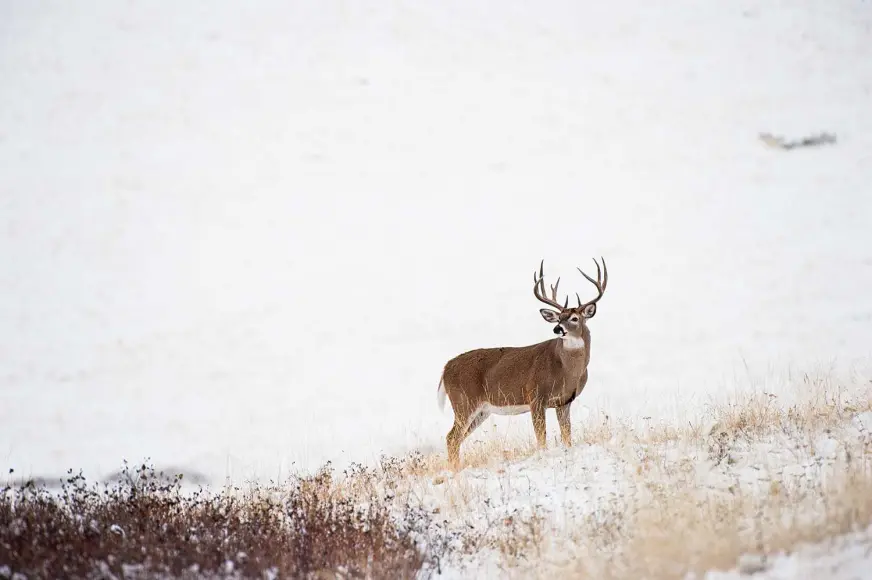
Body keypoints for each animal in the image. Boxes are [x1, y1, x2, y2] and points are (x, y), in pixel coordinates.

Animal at [436, 258, 608, 466]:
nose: (557, 329)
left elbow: (567, 436)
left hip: (481, 410)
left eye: (575, 318)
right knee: (451, 437)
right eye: (558, 318)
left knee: (455, 438)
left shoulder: (564, 401)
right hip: (464, 401)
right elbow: (541, 438)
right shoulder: (535, 396)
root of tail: (445, 368)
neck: (567, 371)